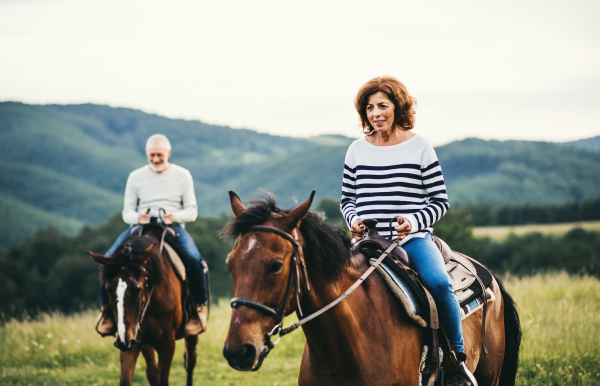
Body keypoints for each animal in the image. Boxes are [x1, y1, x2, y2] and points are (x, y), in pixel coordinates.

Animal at [87, 232, 199, 386]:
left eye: (138, 288)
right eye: (108, 289)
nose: (124, 341)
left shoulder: (167, 344)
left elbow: (163, 379)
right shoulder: (131, 342)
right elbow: (128, 379)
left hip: (191, 334)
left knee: (190, 362)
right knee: (152, 372)